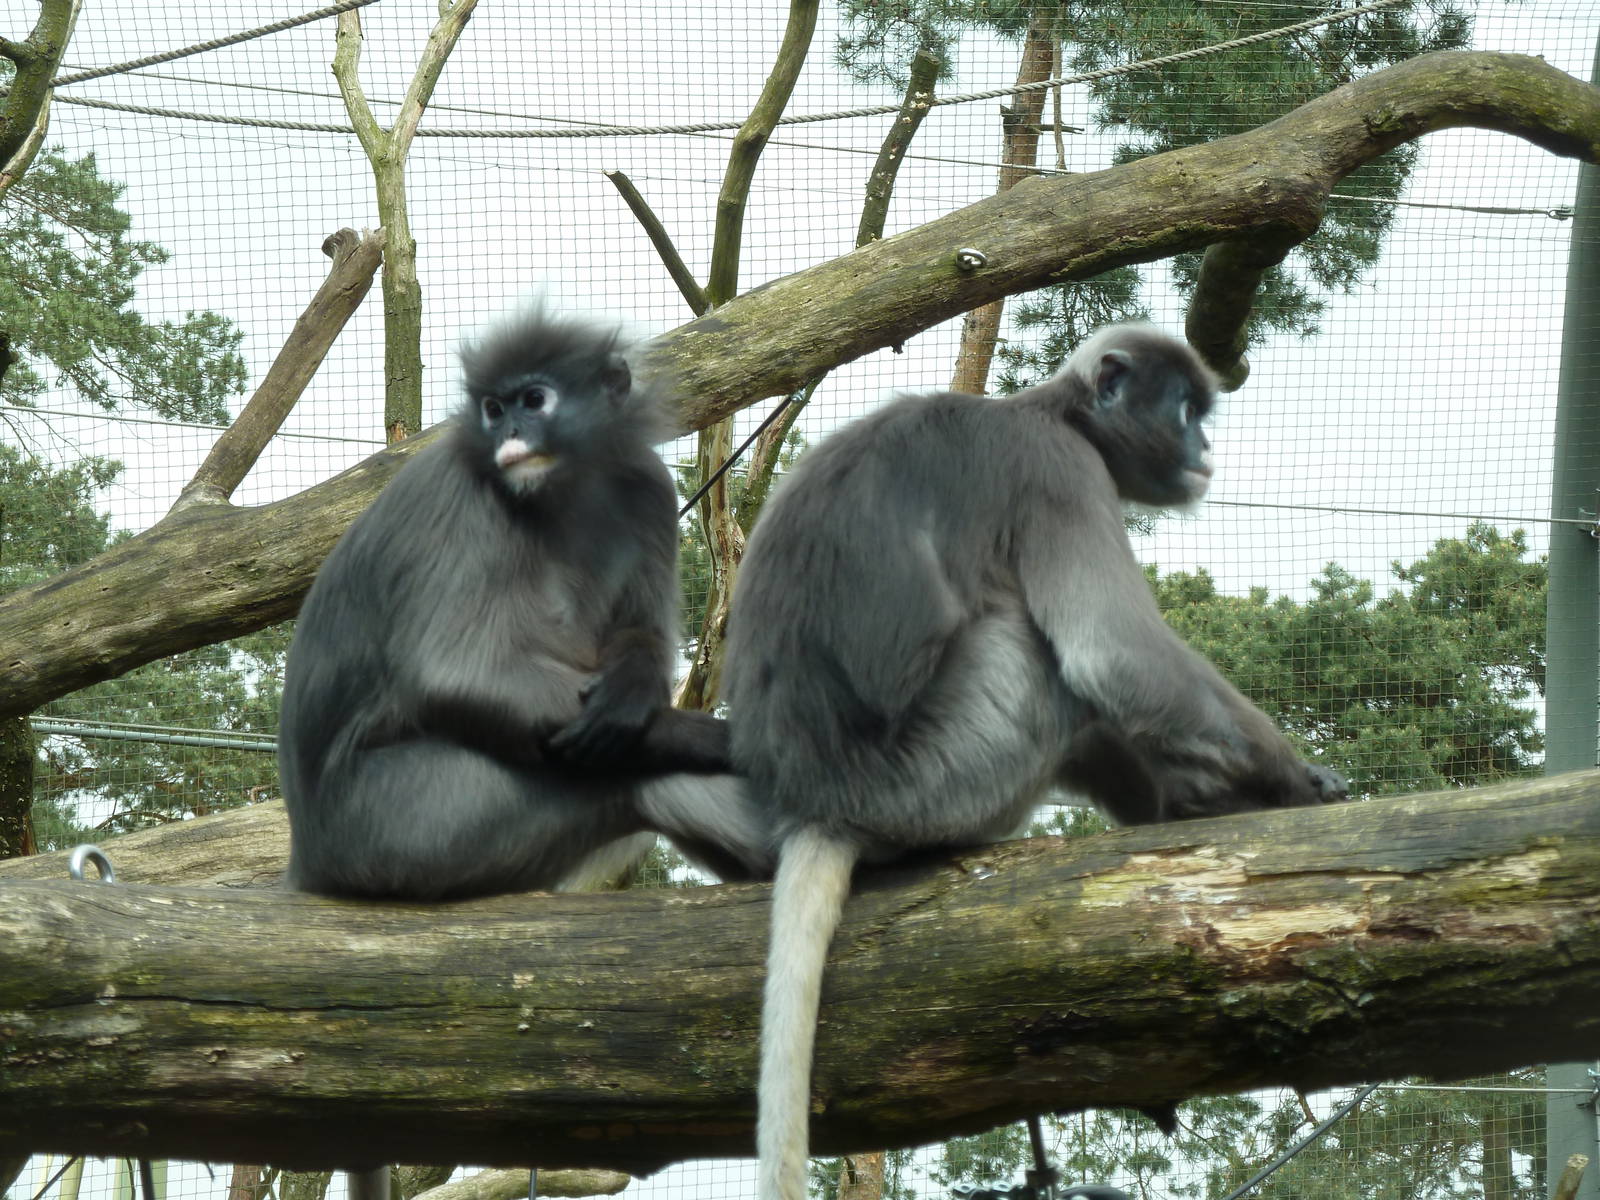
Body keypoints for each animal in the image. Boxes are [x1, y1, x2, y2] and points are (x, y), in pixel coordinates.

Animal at [278, 309, 775, 901]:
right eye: (493, 410)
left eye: (534, 400)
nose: (509, 432)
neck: (561, 489)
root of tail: (308, 854)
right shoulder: (459, 492)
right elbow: (453, 674)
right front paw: (720, 740)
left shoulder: (649, 484)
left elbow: (642, 634)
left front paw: (633, 690)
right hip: (405, 822)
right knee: (629, 778)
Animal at [721, 323, 1348, 1200]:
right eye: (1185, 409)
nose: (1205, 445)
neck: (1047, 412)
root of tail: (817, 797)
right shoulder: (1062, 473)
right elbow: (1112, 656)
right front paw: (1298, 783)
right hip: (945, 769)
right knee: (1040, 652)